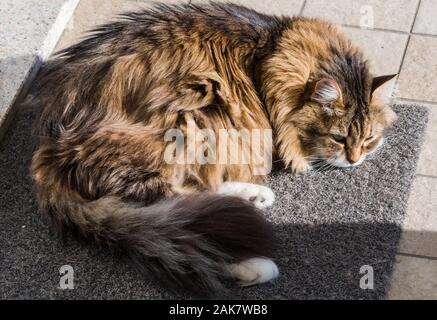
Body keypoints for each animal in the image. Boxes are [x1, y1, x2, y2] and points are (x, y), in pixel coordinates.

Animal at [29, 1, 396, 296]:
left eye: (368, 140)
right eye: (339, 137)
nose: (355, 160)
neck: (270, 53)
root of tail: (48, 151)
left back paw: (253, 198)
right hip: (196, 108)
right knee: (177, 218)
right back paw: (253, 263)